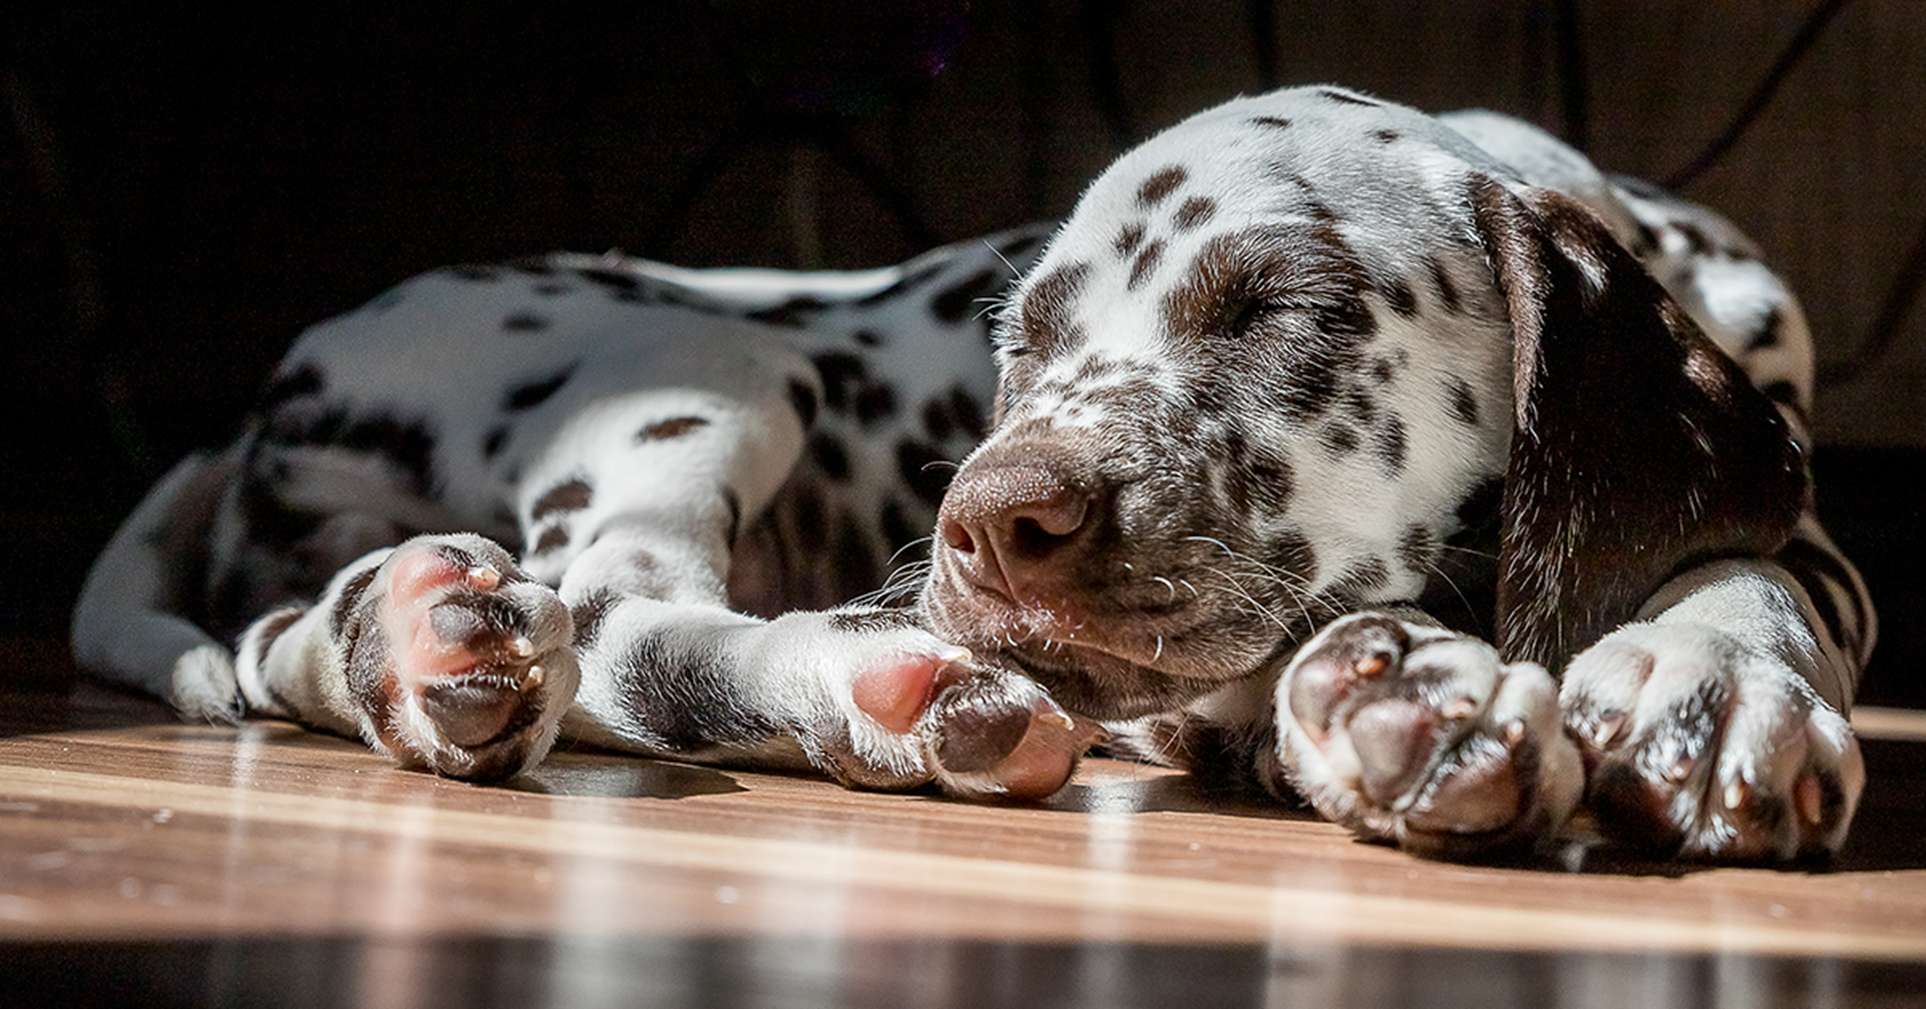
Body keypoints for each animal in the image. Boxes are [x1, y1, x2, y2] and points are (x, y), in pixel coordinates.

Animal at [71, 86, 1864, 862]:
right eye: (1027, 333)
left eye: (1283, 308)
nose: (990, 526)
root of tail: (271, 392)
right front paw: (1406, 688)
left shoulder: (1808, 534)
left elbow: (1750, 564)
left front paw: (1711, 678)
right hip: (713, 368)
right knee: (623, 619)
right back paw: (876, 687)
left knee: (326, 639)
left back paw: (400, 637)